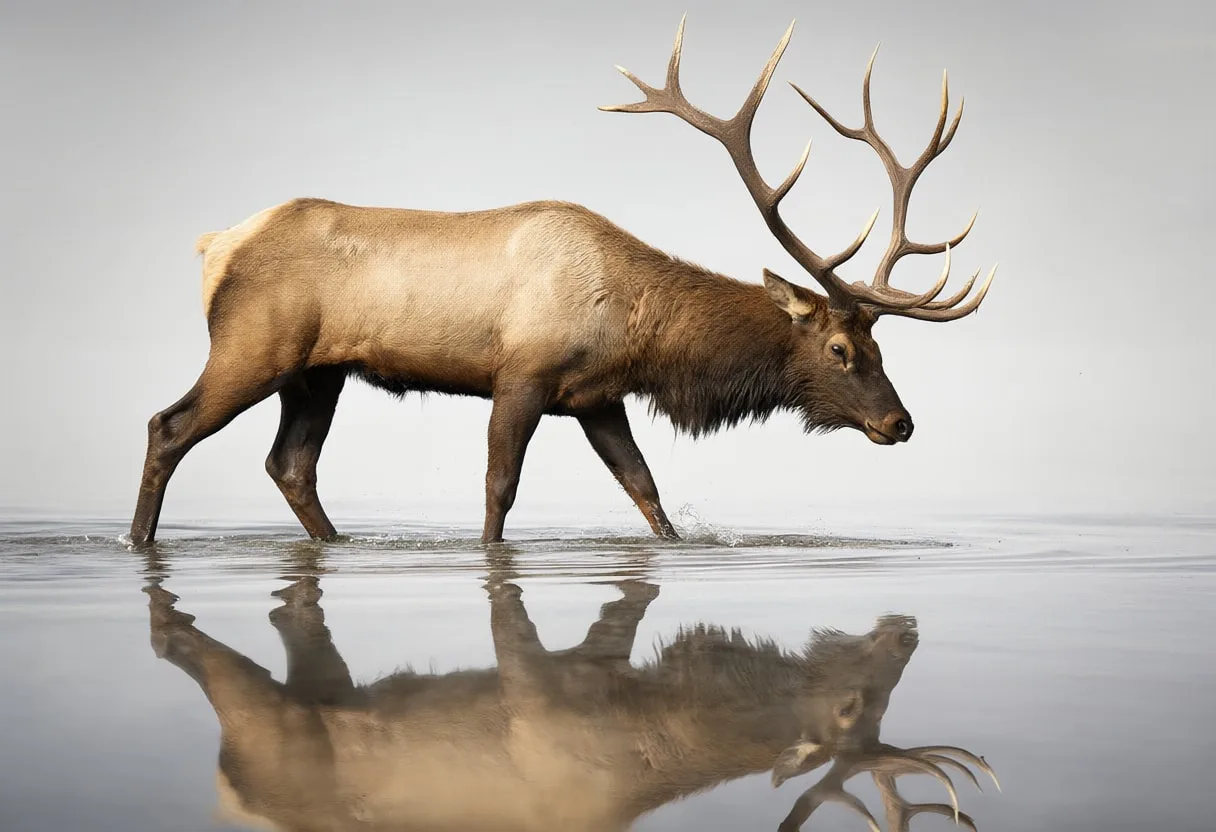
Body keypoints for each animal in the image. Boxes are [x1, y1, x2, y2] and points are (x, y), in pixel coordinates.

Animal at [129, 15, 998, 545]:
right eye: (844, 351)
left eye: (883, 351)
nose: (900, 424)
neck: (640, 329)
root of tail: (217, 245)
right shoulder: (523, 373)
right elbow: (499, 487)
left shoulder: (597, 396)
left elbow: (645, 488)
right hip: (255, 346)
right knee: (169, 425)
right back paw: (137, 540)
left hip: (320, 372)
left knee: (291, 465)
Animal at [144, 563, 999, 831]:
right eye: (854, 706)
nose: (906, 637)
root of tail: (231, 794)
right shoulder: (533, 699)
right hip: (263, 724)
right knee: (189, 657)